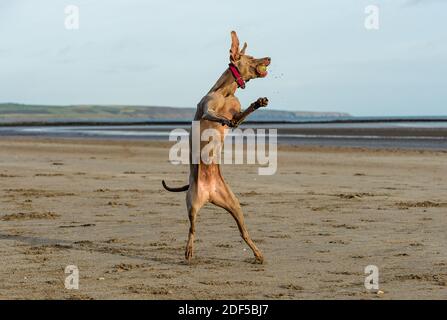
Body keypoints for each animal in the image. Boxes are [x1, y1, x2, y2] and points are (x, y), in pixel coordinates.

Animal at [163, 30, 272, 262]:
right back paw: (189, 250)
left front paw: (258, 103)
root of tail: (210, 193)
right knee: (192, 228)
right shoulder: (206, 108)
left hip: (234, 204)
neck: (226, 91)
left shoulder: (238, 115)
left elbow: (241, 115)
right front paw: (223, 121)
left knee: (243, 232)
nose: (269, 58)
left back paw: (258, 253)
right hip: (192, 202)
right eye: (252, 56)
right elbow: (214, 115)